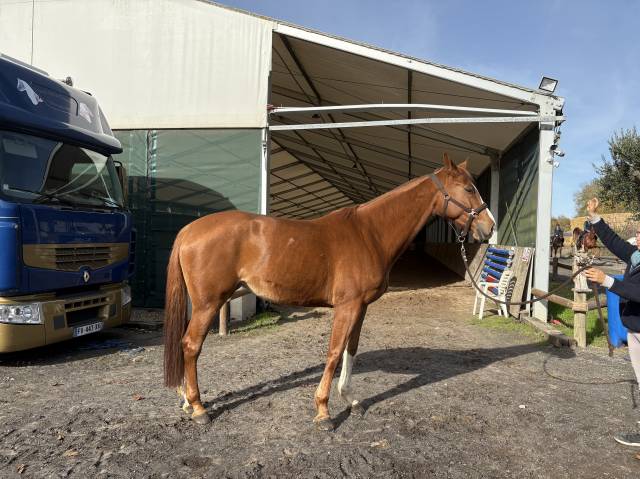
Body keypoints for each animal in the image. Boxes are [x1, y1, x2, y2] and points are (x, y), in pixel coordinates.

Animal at [163, 153, 495, 429]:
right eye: (468, 189)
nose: (489, 228)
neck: (369, 234)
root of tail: (189, 230)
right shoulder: (347, 306)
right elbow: (334, 352)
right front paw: (323, 411)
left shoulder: (361, 307)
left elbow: (351, 350)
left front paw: (351, 400)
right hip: (208, 303)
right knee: (191, 345)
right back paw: (199, 408)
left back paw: (186, 401)